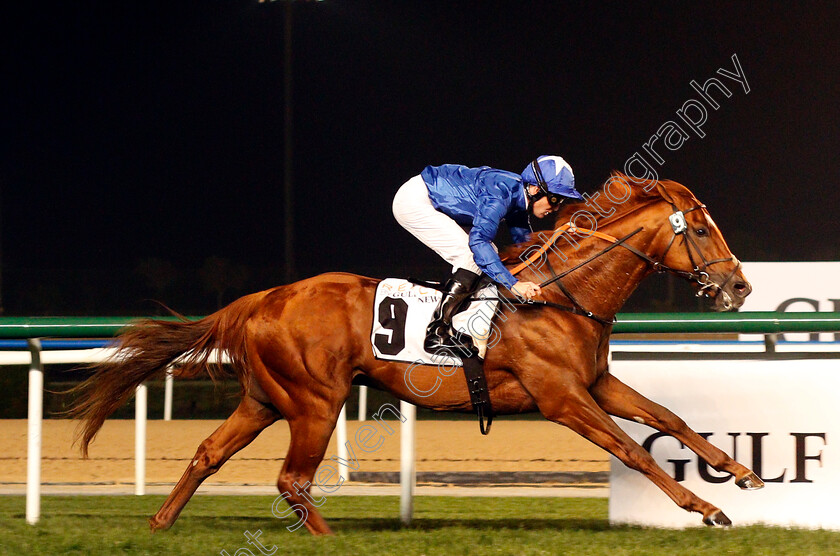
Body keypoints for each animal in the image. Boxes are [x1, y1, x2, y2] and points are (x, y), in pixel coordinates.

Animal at [72, 173, 764, 536]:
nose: (740, 287)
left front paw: (741, 472)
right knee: (292, 479)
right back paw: (328, 542)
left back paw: (161, 523)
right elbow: (629, 448)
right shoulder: (562, 398)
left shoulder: (594, 383)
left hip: (267, 399)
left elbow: (667, 419)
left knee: (209, 453)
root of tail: (262, 298)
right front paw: (706, 507)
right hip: (315, 403)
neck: (560, 294)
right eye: (702, 227)